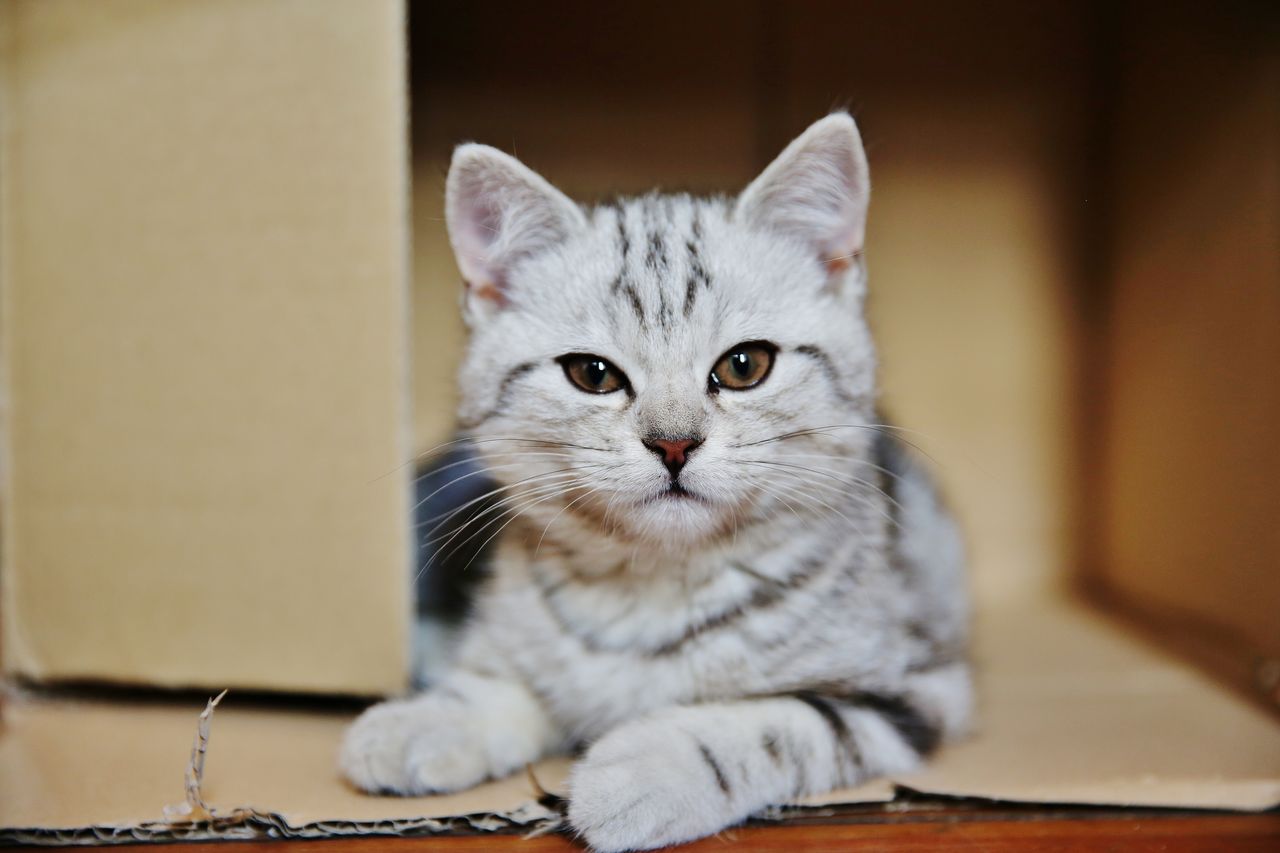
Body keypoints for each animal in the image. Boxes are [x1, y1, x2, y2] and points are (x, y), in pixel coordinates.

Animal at [340, 114, 967, 850]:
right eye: (592, 374)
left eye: (745, 365)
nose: (673, 443)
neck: (651, 588)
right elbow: (513, 681)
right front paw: (429, 718)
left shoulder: (914, 689)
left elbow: (775, 723)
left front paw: (638, 772)